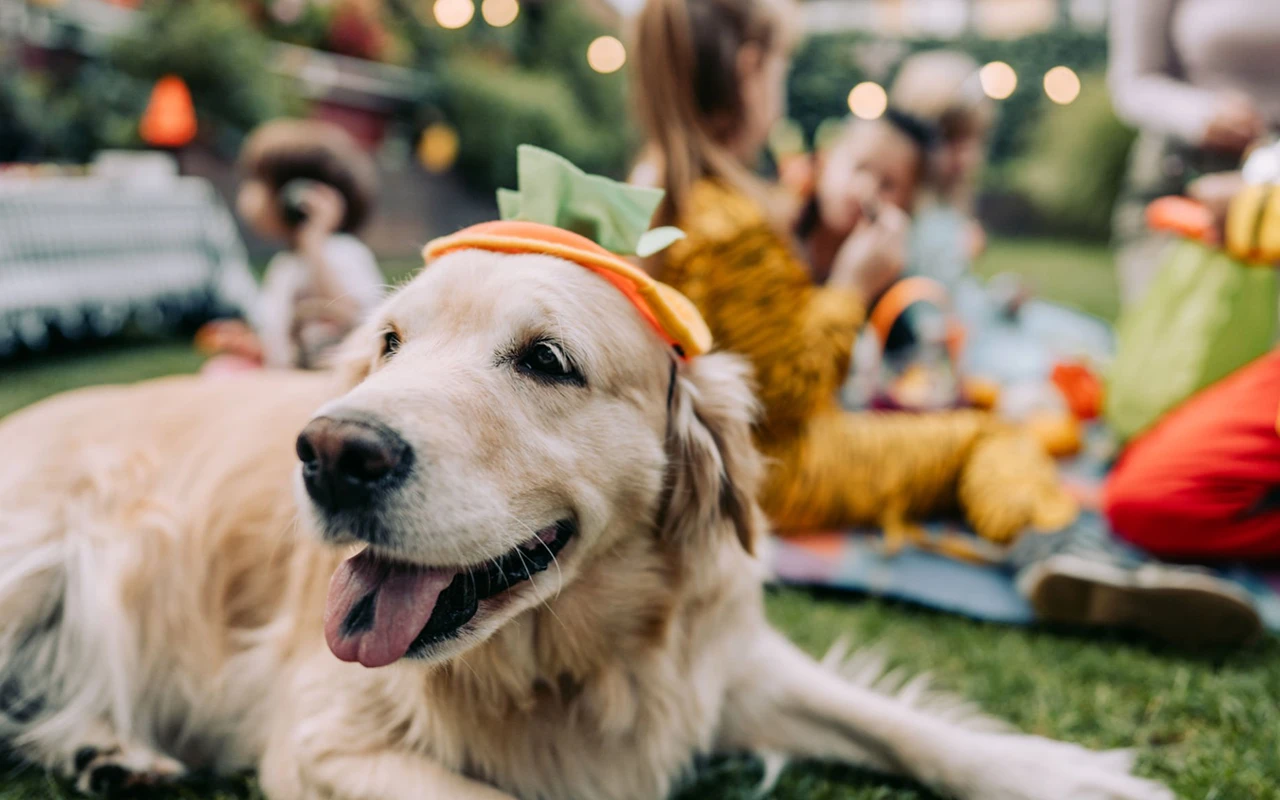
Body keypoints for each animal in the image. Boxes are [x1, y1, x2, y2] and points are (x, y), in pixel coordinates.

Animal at [0, 249, 1172, 798]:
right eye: (387, 344)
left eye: (546, 360)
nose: (331, 453)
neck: (569, 660)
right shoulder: (319, 740)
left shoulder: (717, 662)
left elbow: (897, 722)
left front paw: (1061, 772)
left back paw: (107, 748)